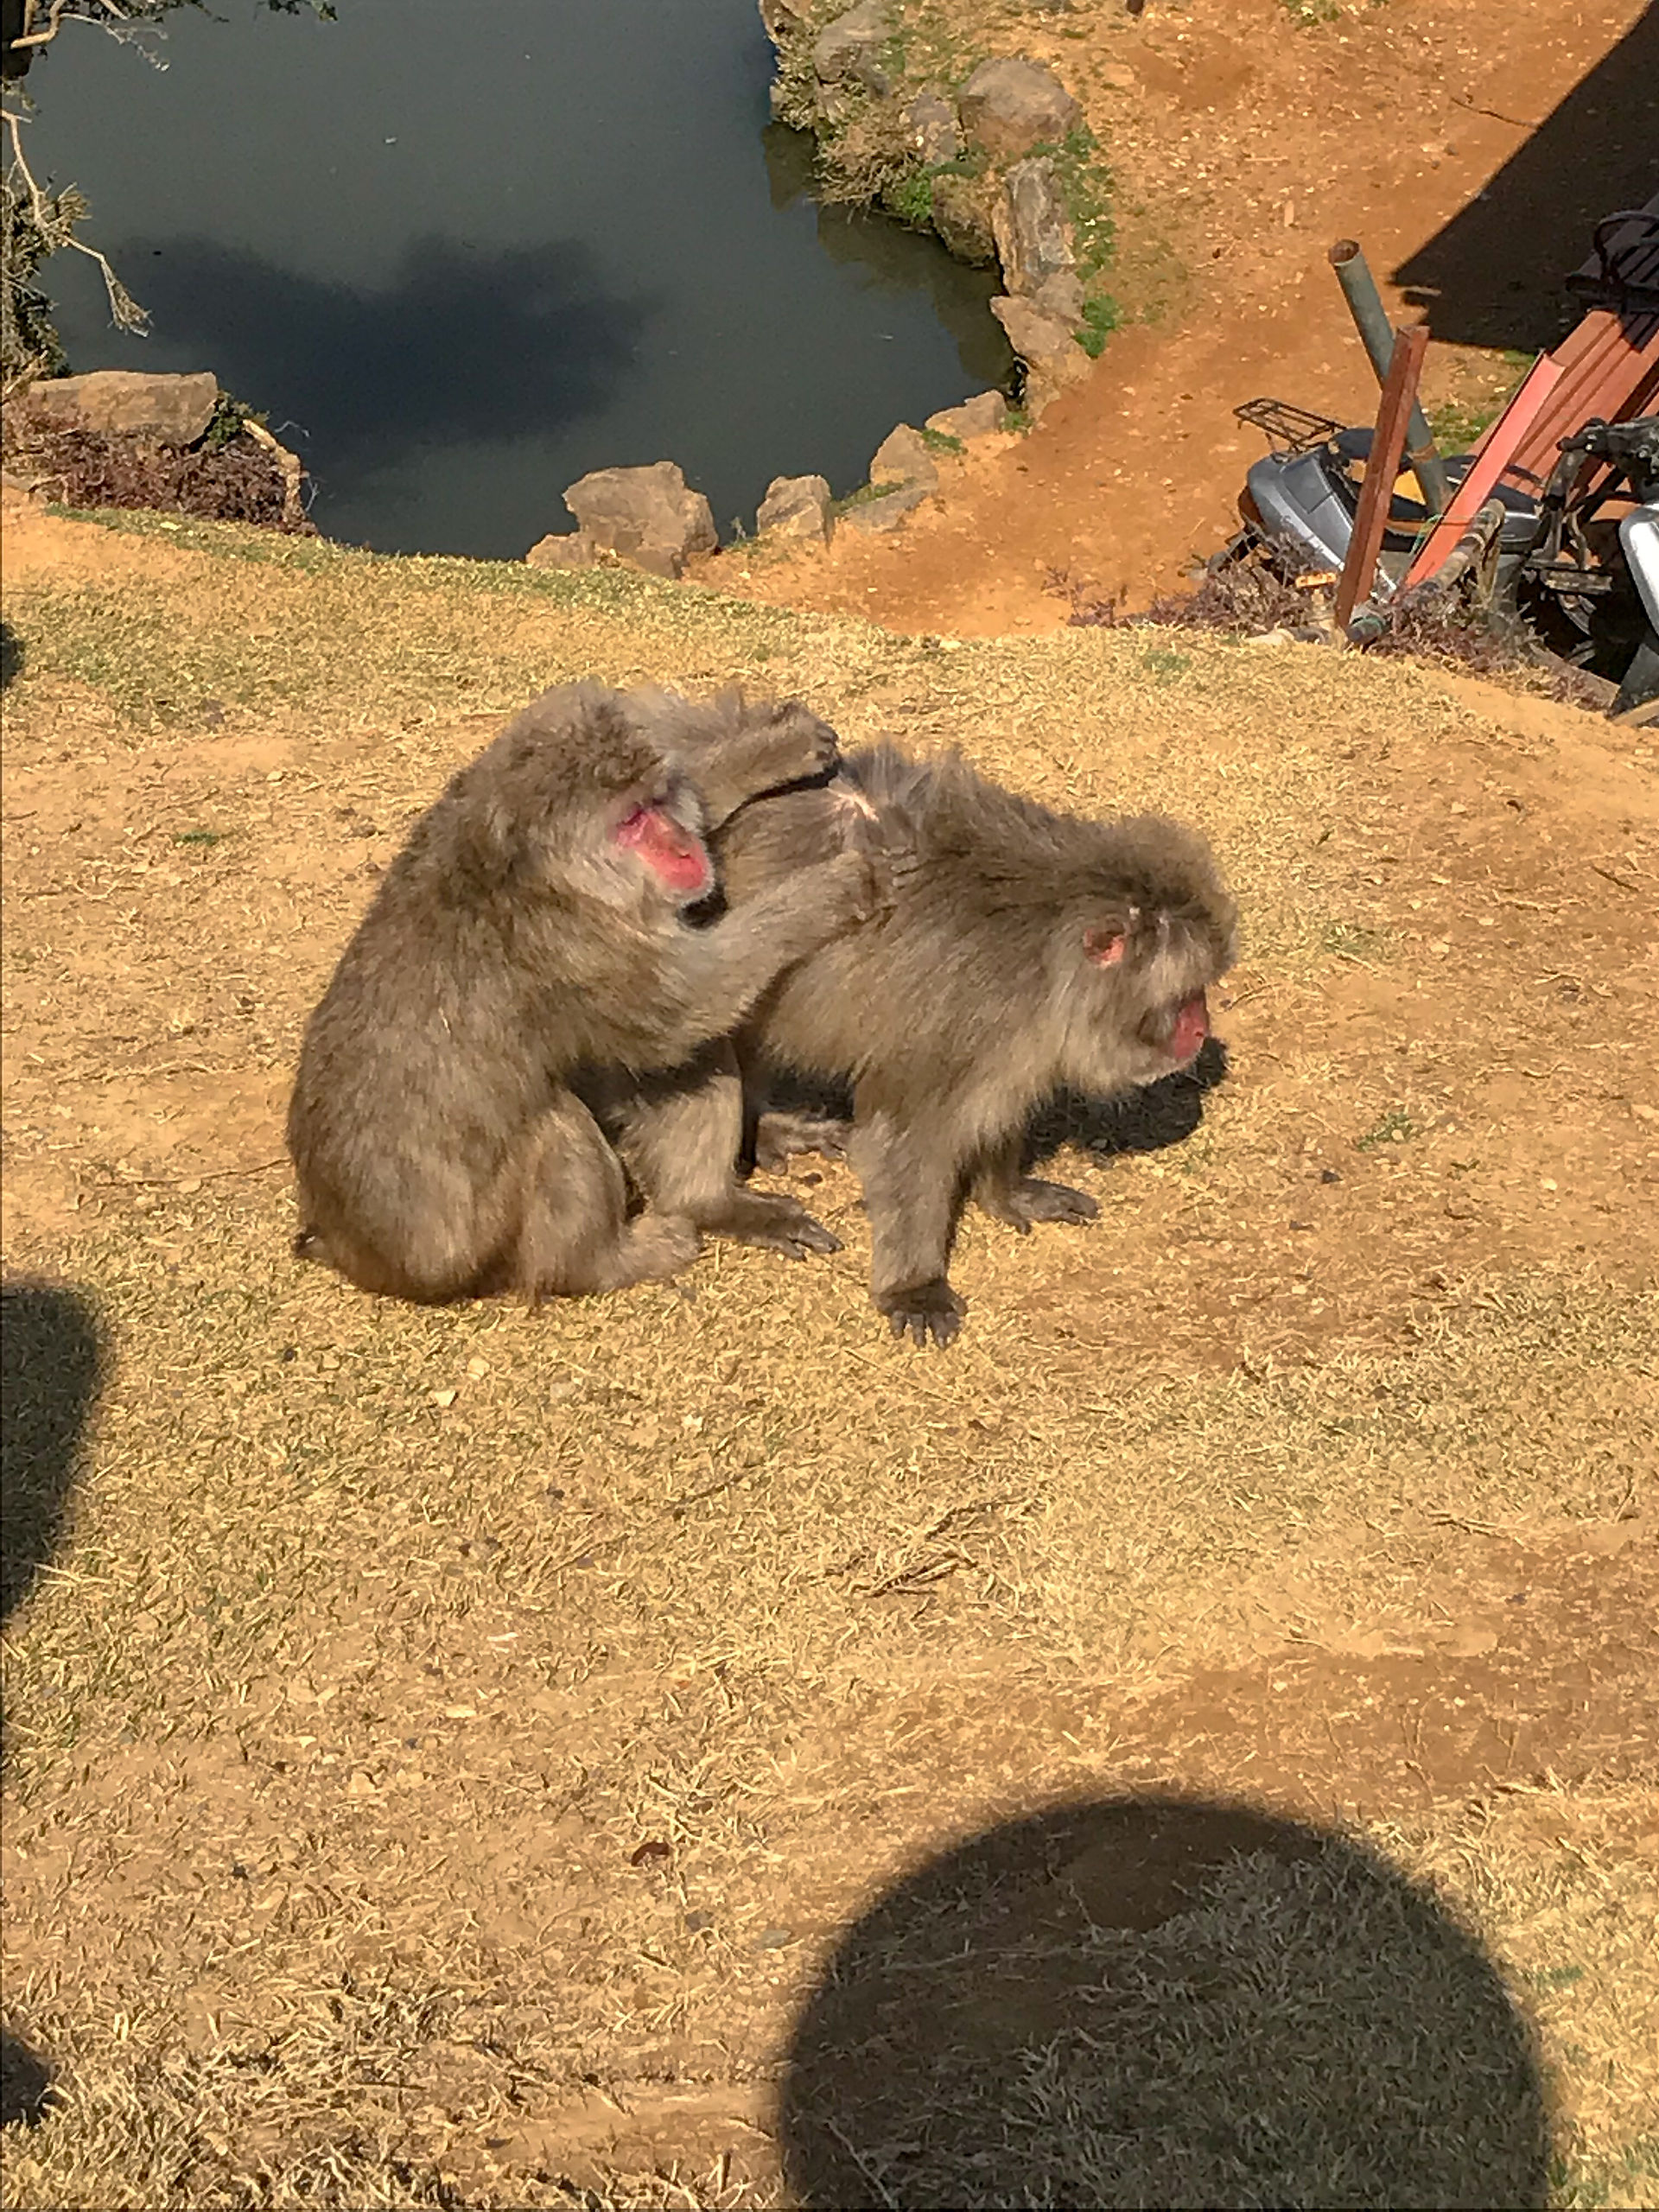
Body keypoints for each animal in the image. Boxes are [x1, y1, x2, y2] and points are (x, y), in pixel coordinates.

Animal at [285, 683, 877, 1306]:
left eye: (657, 801)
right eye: (632, 821)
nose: (683, 846)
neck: (540, 874)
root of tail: (343, 1245)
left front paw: (770, 753)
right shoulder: (581, 949)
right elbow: (689, 1003)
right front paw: (829, 891)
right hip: (475, 1251)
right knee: (563, 1121)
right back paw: (655, 1234)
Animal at [601, 742, 1237, 1346]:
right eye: (1184, 994)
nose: (1199, 1029)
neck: (1043, 953)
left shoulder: (1018, 1035)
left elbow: (997, 1107)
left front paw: (1006, 1192)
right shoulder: (964, 1018)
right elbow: (905, 1141)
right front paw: (915, 1284)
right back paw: (712, 1202)